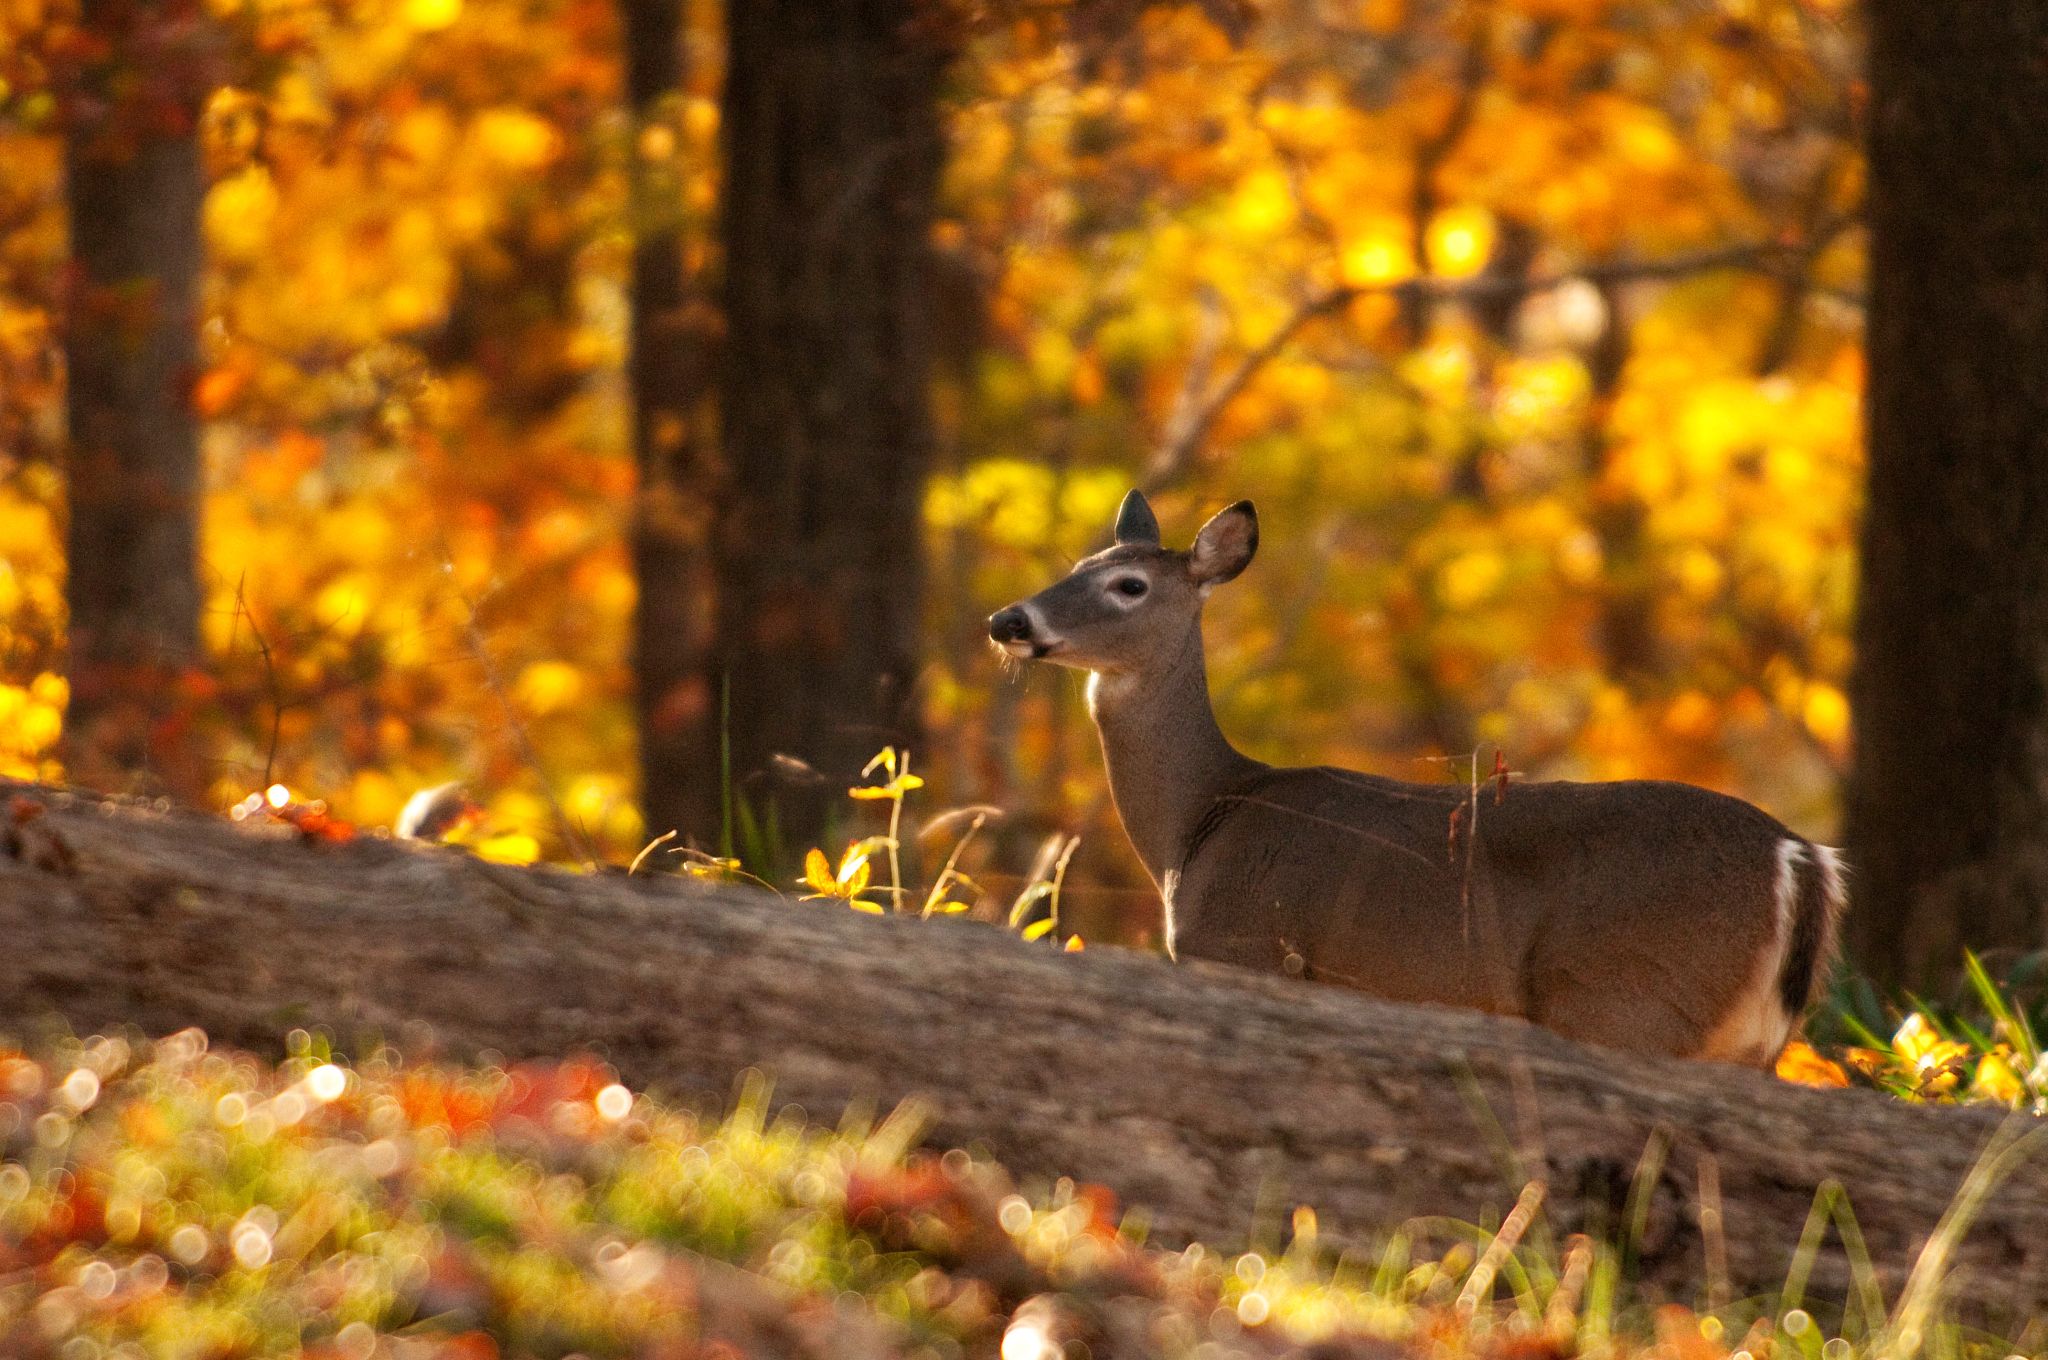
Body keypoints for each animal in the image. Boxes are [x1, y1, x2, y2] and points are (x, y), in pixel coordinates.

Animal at [983, 493, 1851, 1065]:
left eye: (1129, 585)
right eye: (1080, 564)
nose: (1008, 621)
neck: (1199, 822)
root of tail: (1800, 857)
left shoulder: (1241, 947)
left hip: (1628, 999)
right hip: (1749, 1040)